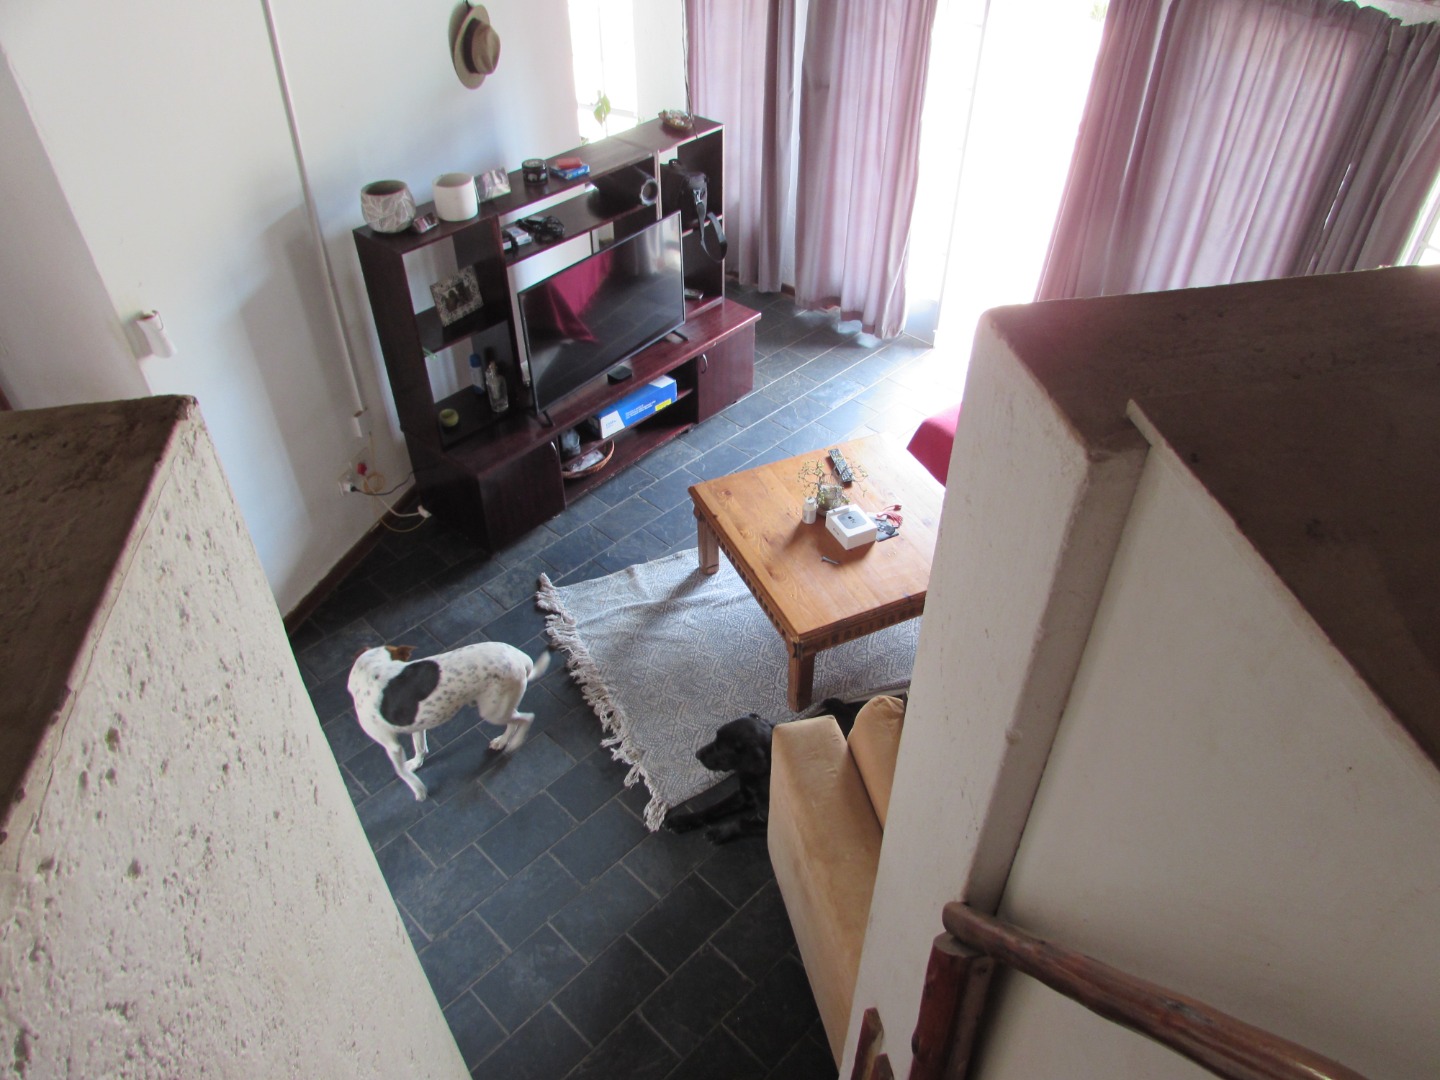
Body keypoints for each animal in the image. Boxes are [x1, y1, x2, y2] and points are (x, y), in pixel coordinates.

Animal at [348, 642, 550, 801]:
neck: (372, 668)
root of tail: (521, 658)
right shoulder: (417, 725)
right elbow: (420, 747)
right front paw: (416, 763)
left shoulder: (392, 746)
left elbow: (402, 772)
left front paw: (419, 791)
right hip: (500, 708)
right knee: (515, 721)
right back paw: (502, 741)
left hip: (493, 712)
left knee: (527, 718)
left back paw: (514, 743)